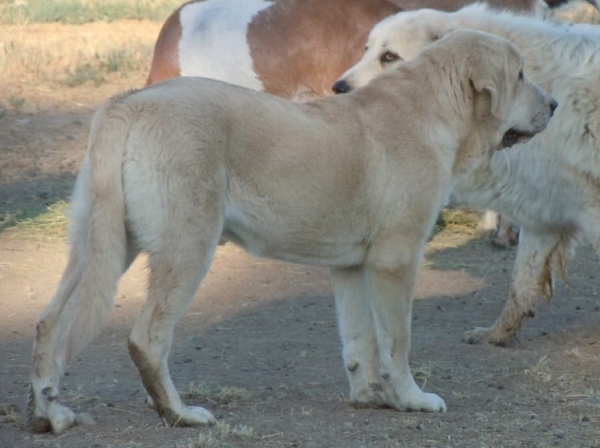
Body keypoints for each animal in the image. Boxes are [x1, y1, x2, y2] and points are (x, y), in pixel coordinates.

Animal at [27, 28, 552, 434]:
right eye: (520, 75)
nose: (555, 103)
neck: (432, 111)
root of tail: (128, 104)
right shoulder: (396, 261)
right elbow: (396, 342)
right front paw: (410, 399)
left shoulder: (351, 269)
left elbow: (359, 341)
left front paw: (371, 396)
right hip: (186, 250)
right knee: (146, 339)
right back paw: (179, 414)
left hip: (103, 248)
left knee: (50, 323)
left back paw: (49, 415)